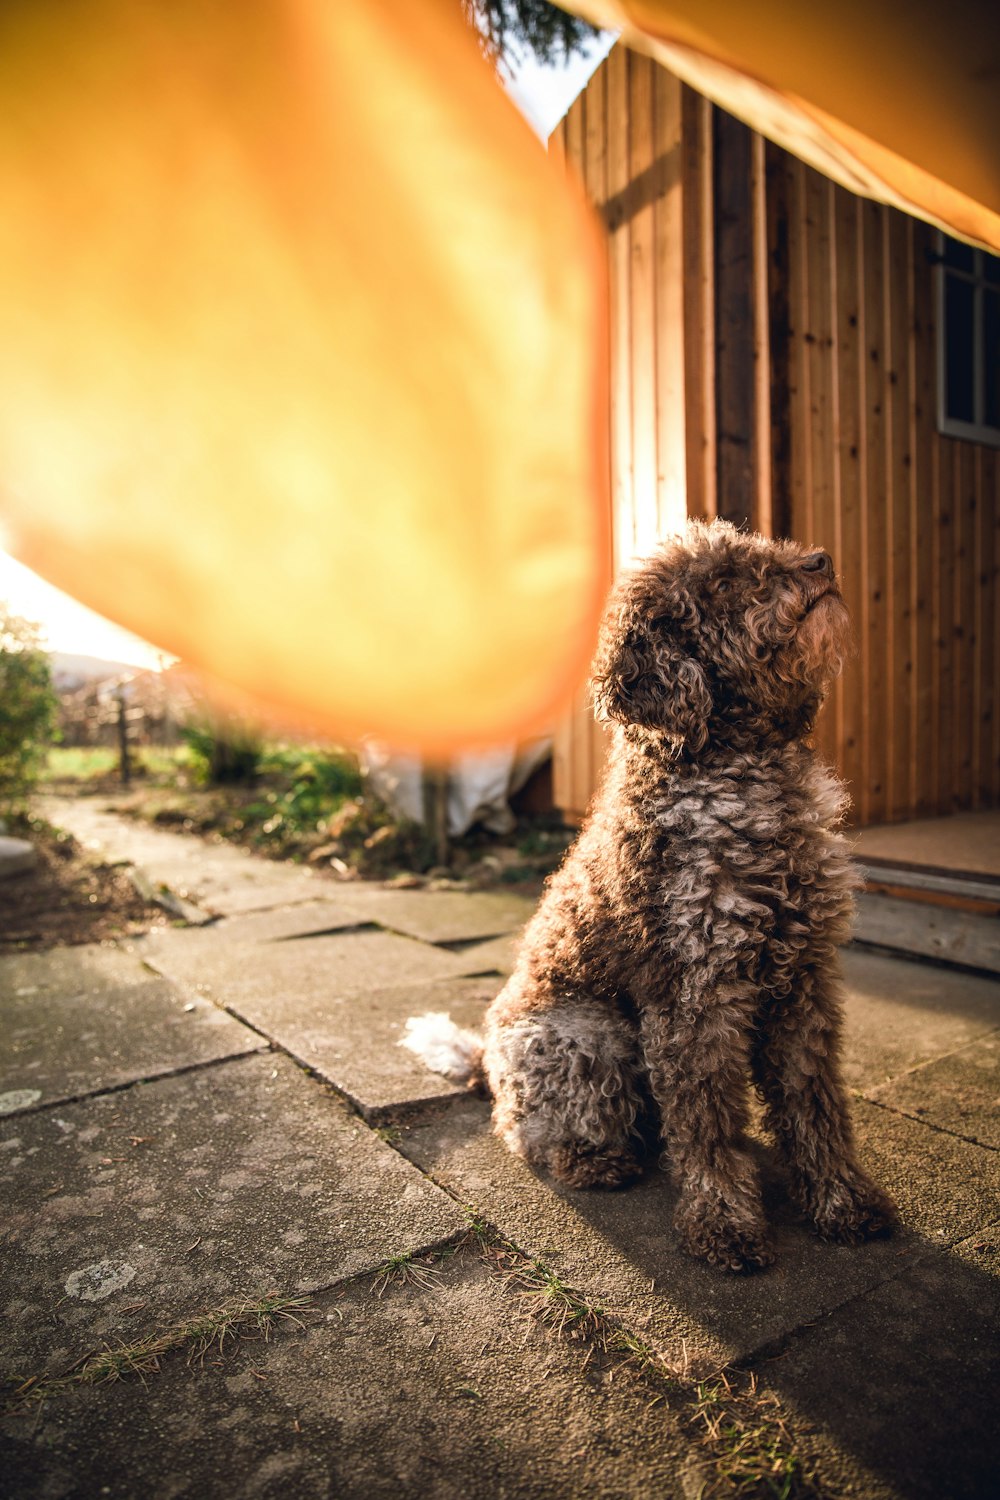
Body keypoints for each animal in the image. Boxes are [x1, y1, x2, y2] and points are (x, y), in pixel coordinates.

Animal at [407, 522, 899, 1272]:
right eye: (723, 581)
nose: (822, 560)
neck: (744, 777)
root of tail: (484, 1061)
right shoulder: (691, 997)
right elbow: (706, 1123)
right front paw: (725, 1225)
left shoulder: (804, 984)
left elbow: (815, 1105)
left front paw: (843, 1202)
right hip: (586, 1034)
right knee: (535, 1132)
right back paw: (597, 1161)